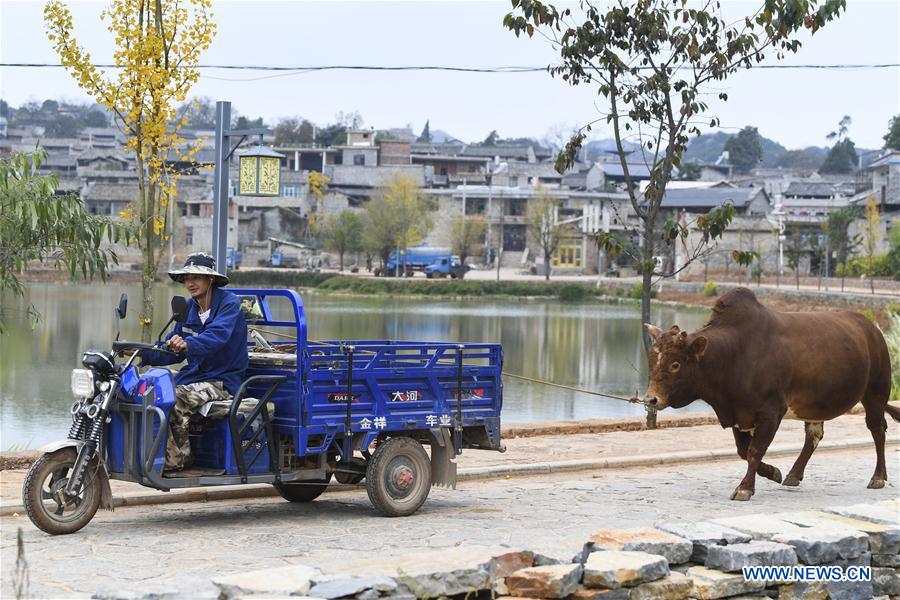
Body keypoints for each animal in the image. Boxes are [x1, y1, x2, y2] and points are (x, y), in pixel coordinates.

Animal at [644, 288, 896, 500]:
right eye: (654, 359)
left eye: (675, 364)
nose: (651, 399)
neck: (734, 354)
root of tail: (872, 329)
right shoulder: (739, 415)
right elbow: (743, 451)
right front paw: (774, 472)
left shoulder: (771, 411)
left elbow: (755, 450)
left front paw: (744, 488)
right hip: (816, 404)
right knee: (814, 435)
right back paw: (794, 475)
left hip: (875, 393)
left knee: (877, 430)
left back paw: (878, 477)